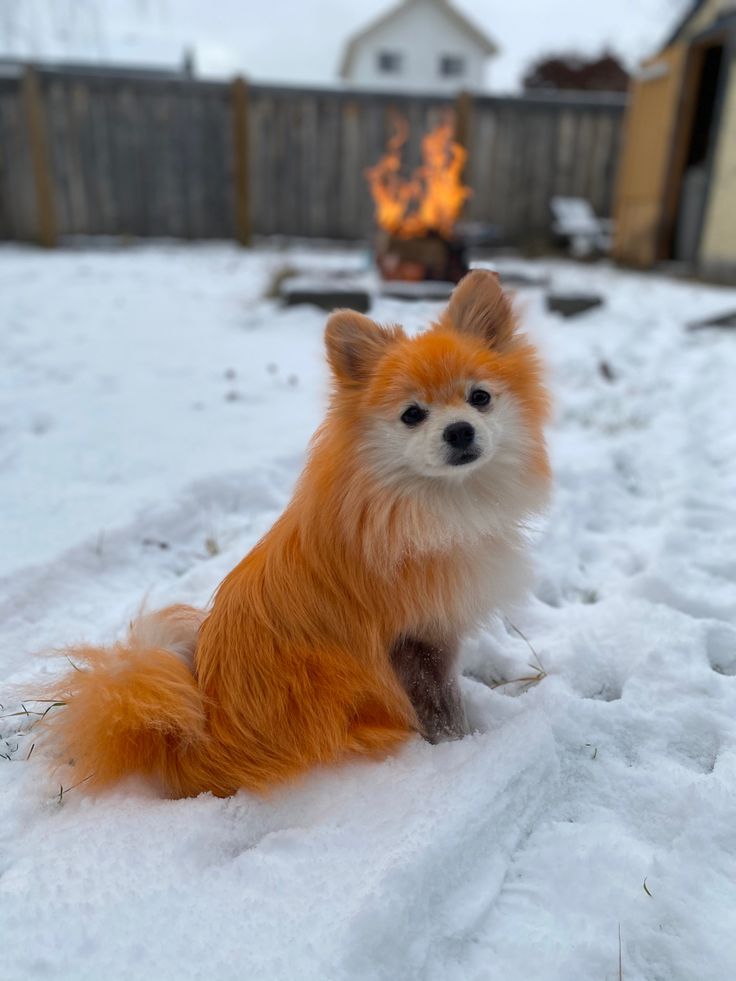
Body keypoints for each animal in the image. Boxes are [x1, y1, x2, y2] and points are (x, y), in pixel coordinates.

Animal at [38, 270, 548, 796]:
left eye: (480, 397)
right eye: (412, 414)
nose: (460, 431)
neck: (430, 503)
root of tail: (194, 748)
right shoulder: (416, 639)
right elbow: (442, 709)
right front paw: (462, 745)